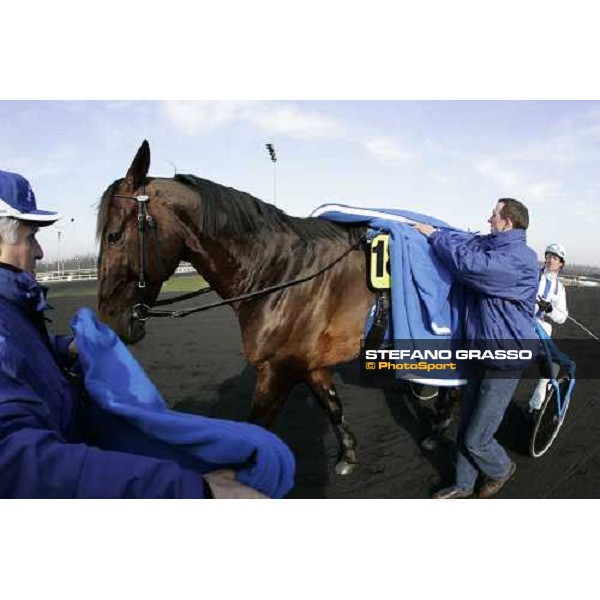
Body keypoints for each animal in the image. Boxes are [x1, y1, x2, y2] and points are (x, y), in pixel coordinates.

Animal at [98, 139, 378, 474]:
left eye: (113, 236)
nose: (107, 320)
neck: (283, 272)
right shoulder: (308, 363)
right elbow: (331, 404)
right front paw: (347, 455)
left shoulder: (277, 369)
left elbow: (257, 428)